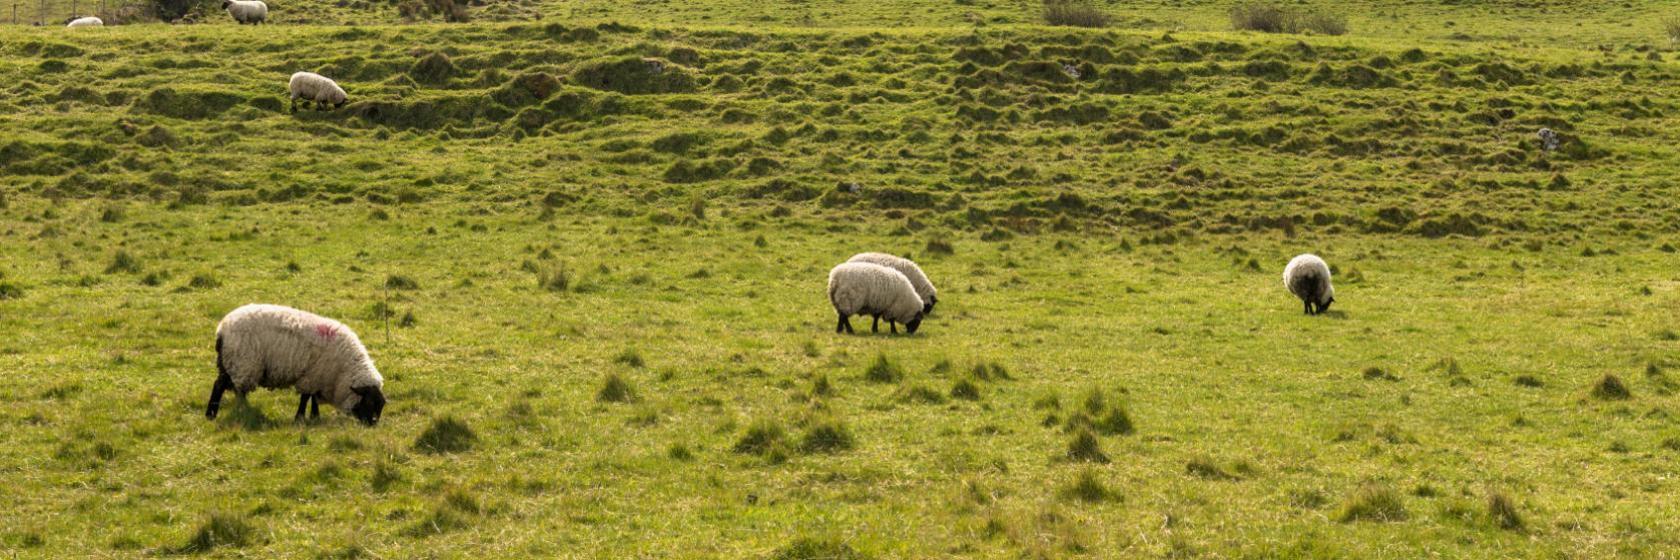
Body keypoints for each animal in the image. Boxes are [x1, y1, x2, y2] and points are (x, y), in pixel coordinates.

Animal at [204, 302, 384, 425]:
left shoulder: (317, 377)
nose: (373, 423)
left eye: (381, 405)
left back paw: (211, 414)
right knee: (231, 389)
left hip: (229, 362)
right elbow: (306, 397)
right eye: (369, 402)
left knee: (220, 385)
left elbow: (312, 398)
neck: (342, 372)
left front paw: (314, 417)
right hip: (243, 362)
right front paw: (300, 418)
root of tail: (222, 330)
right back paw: (238, 410)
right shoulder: (312, 376)